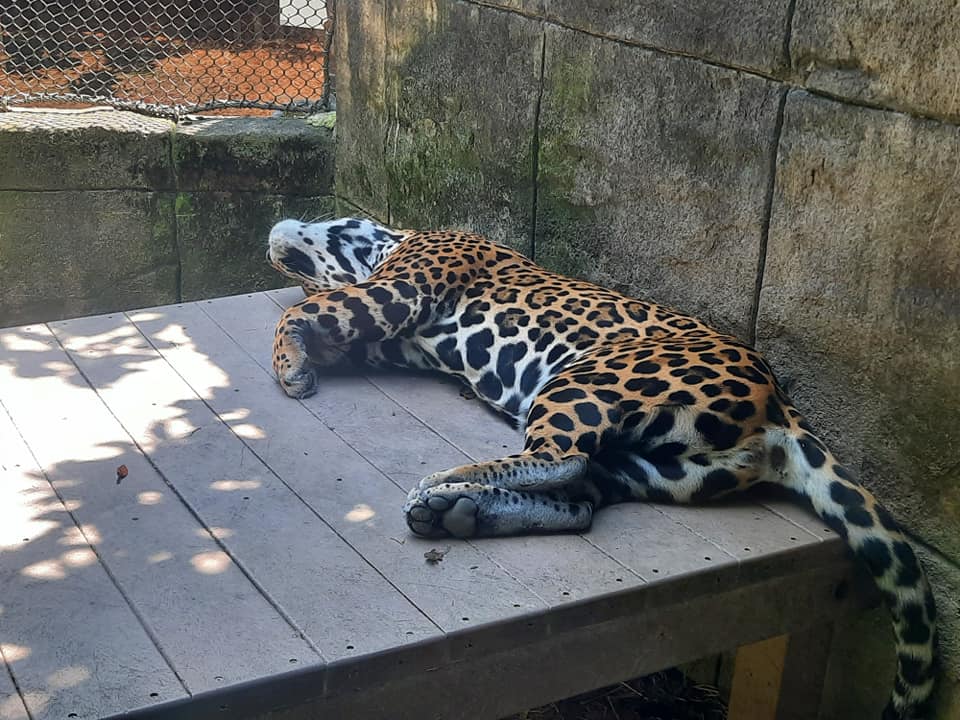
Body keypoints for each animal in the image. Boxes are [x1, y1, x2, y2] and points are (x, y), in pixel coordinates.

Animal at [266, 216, 937, 719]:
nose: (275, 236)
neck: (391, 238)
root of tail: (781, 406)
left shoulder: (398, 289)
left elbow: (298, 311)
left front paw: (290, 368)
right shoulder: (384, 336)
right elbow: (320, 321)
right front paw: (303, 358)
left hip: (586, 378)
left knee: (561, 457)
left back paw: (444, 484)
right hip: (663, 467)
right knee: (582, 496)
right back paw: (455, 511)